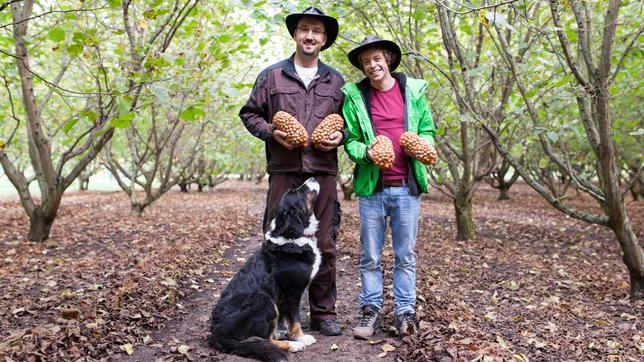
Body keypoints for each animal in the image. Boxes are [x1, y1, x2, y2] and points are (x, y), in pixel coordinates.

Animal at [210, 177, 320, 360]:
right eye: (298, 192)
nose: (312, 178)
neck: (292, 237)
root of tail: (217, 334)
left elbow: (285, 318)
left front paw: (285, 331)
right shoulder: (293, 291)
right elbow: (295, 318)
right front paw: (301, 337)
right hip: (264, 299)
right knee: (264, 339)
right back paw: (292, 345)